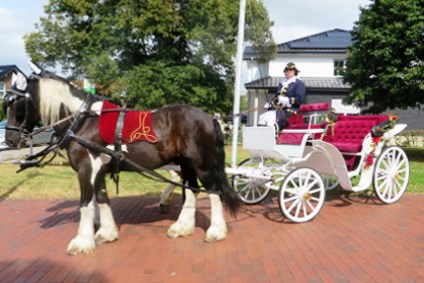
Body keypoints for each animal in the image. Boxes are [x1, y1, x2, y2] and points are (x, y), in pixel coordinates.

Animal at [4, 68, 238, 255]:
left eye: (17, 102)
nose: (10, 140)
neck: (82, 121)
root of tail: (209, 117)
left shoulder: (86, 169)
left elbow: (86, 204)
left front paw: (82, 242)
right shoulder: (98, 170)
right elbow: (102, 198)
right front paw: (107, 232)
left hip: (201, 165)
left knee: (214, 191)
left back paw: (216, 231)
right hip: (186, 164)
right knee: (191, 191)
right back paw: (182, 227)